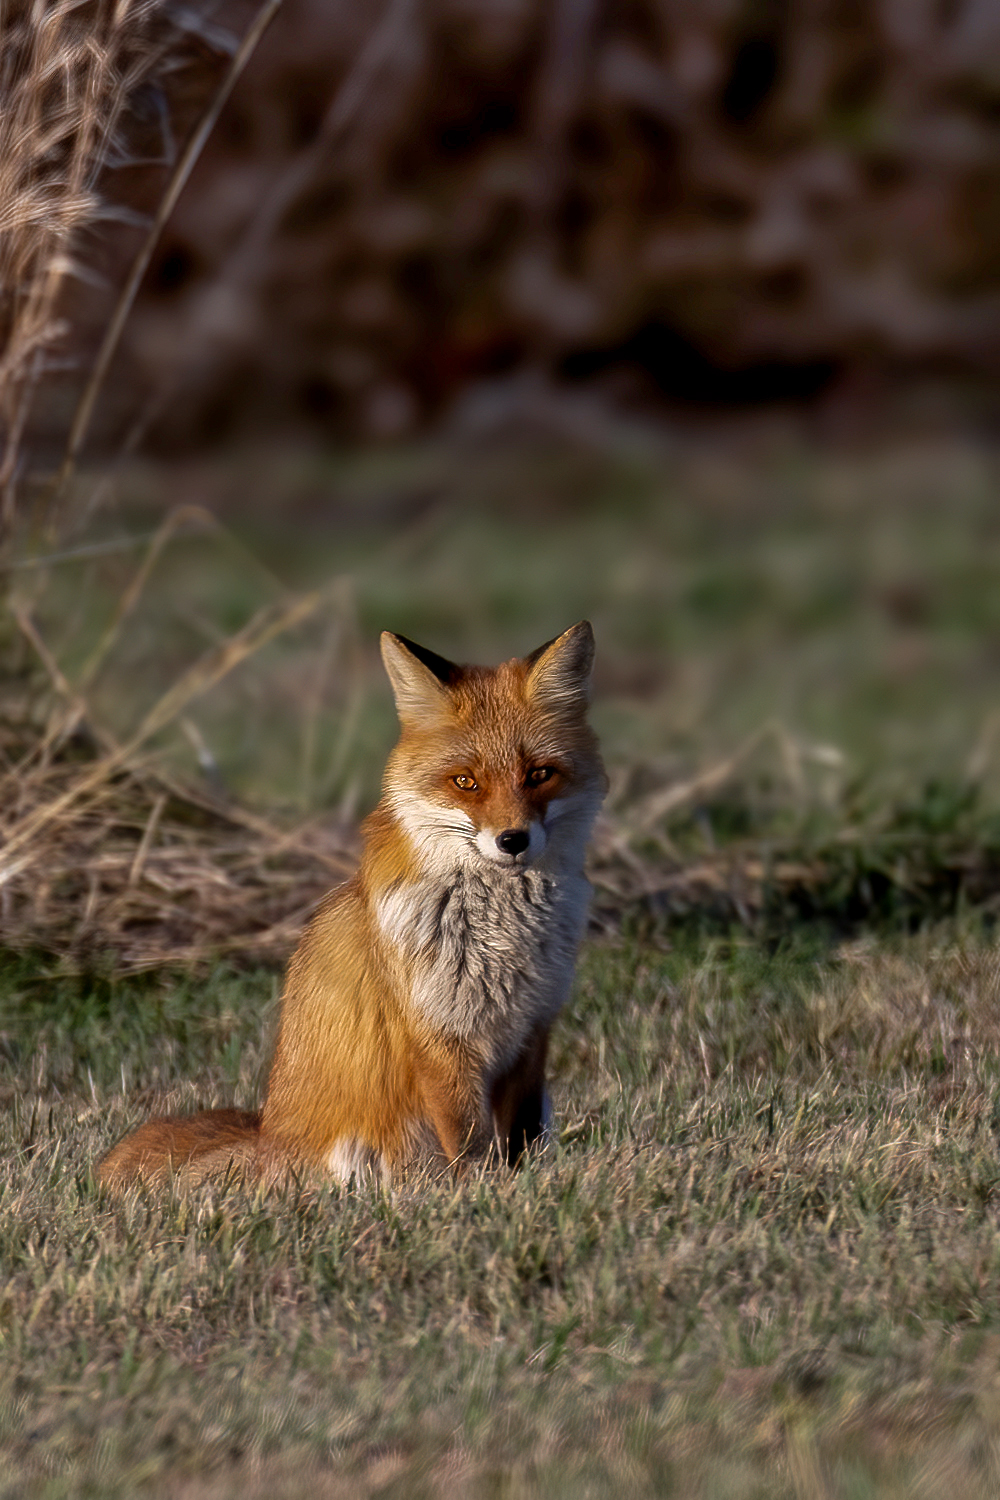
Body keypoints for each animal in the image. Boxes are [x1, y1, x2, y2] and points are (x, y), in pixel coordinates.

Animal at [97, 621, 605, 1194]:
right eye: (465, 782)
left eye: (539, 774)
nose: (512, 840)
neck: (503, 936)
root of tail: (265, 1140)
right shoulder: (437, 1037)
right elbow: (471, 1145)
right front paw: (481, 1193)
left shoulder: (532, 1029)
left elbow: (520, 1136)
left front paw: (522, 1187)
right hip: (353, 1157)